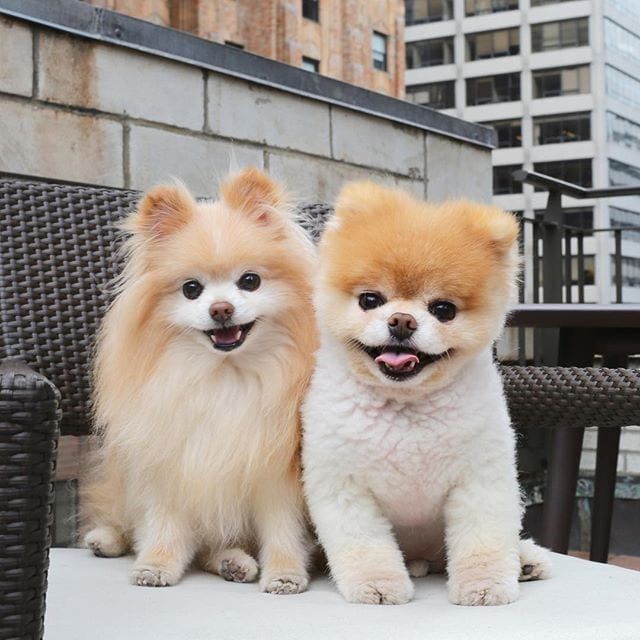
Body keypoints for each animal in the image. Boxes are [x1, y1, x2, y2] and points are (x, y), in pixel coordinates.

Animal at [82, 168, 318, 592]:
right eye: (191, 289)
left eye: (250, 281)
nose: (221, 308)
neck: (225, 375)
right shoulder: (170, 460)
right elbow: (163, 521)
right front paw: (156, 564)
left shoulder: (276, 473)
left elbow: (282, 529)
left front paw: (285, 572)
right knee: (122, 516)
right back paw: (106, 538)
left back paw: (233, 561)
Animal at [302, 184, 552, 604]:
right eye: (370, 300)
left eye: (443, 309)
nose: (402, 321)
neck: (406, 404)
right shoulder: (344, 485)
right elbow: (365, 545)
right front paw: (378, 585)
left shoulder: (479, 479)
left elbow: (484, 540)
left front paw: (484, 585)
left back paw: (527, 561)